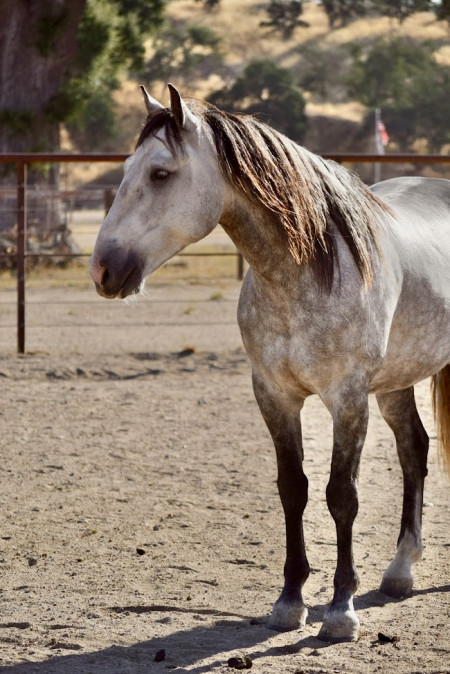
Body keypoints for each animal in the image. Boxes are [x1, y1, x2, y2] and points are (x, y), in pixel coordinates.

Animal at [89, 84, 450, 640]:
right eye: (127, 168)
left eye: (160, 173)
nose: (103, 269)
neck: (310, 272)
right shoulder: (274, 395)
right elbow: (293, 489)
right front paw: (290, 601)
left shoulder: (347, 399)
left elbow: (341, 495)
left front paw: (340, 610)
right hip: (395, 382)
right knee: (414, 449)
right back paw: (399, 571)